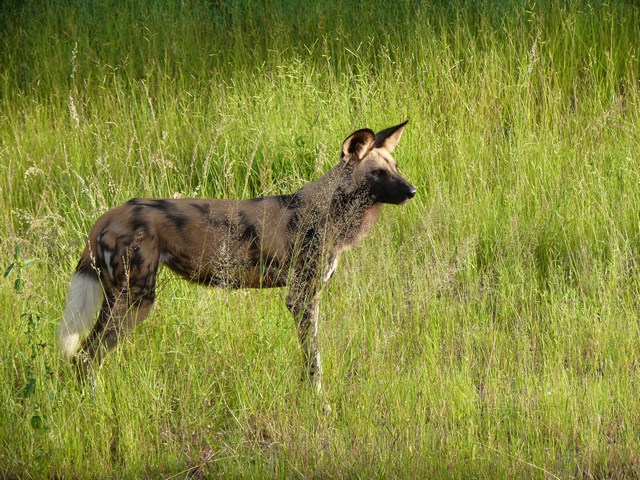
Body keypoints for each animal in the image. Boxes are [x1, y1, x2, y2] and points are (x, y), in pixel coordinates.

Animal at [57, 120, 418, 390]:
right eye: (379, 173)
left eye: (396, 167)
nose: (412, 191)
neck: (328, 210)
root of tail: (109, 215)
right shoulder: (301, 298)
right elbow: (314, 360)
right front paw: (318, 400)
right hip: (137, 299)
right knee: (87, 356)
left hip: (116, 298)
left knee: (82, 357)